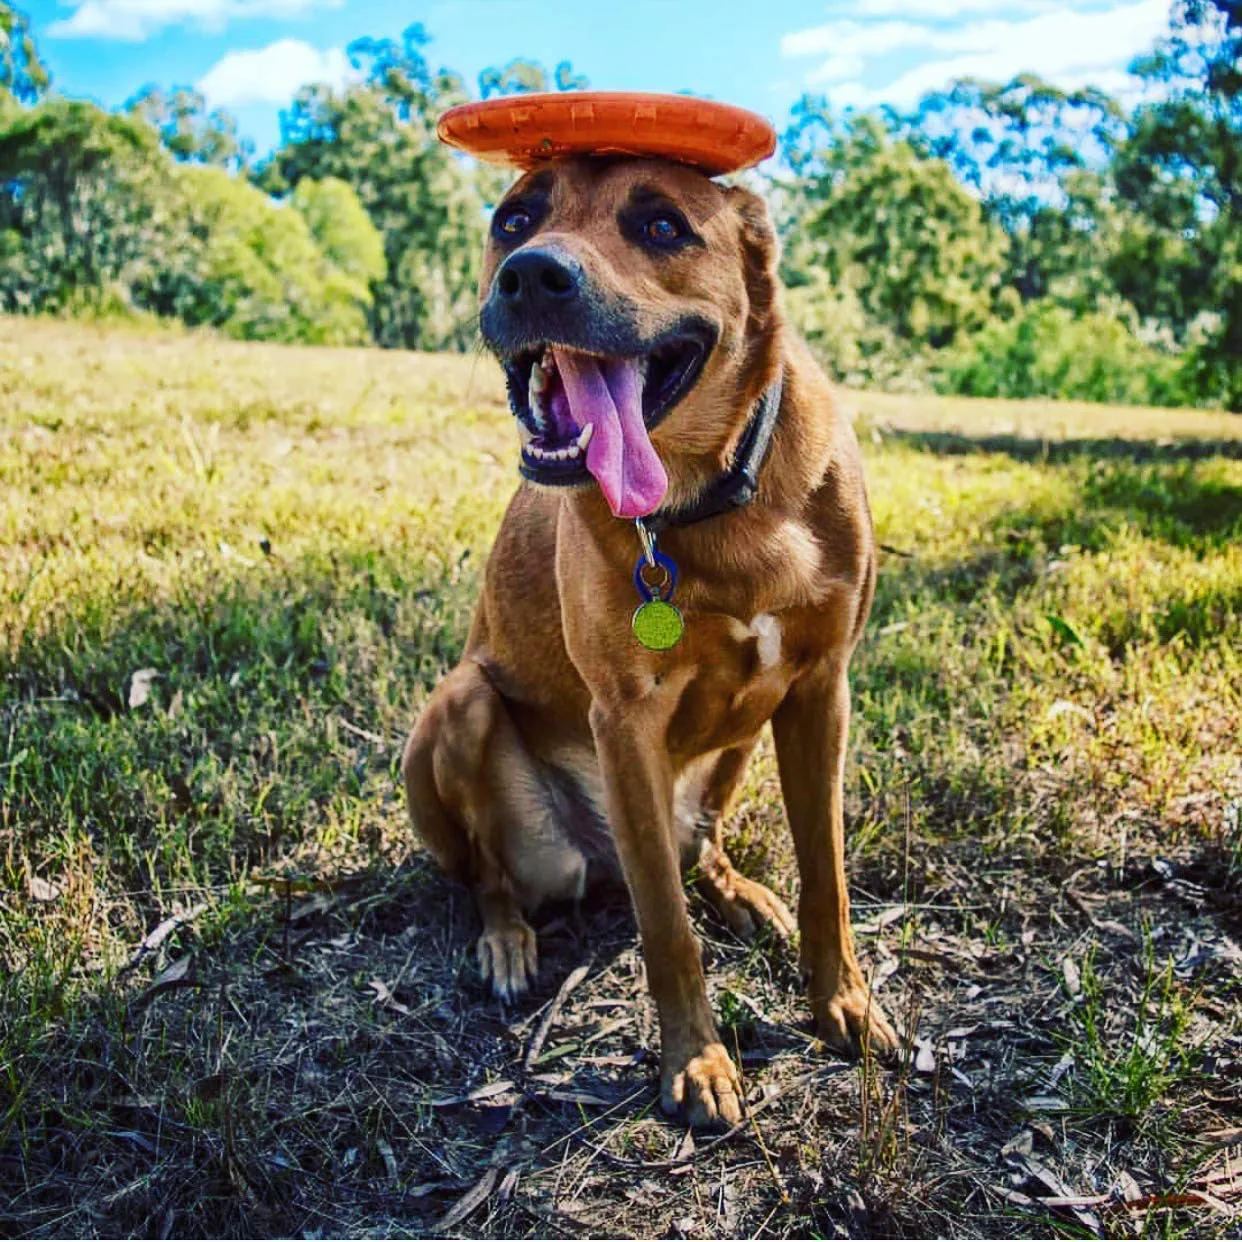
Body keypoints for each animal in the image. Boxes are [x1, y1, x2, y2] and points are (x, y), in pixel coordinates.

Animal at [402, 155, 899, 1127]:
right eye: (514, 219)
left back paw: (740, 892)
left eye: (664, 227)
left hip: (743, 737)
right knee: (493, 874)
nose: (532, 275)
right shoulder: (624, 724)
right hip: (462, 705)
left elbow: (826, 879)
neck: (713, 496)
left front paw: (845, 1005)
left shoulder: (822, 690)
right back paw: (508, 941)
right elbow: (666, 928)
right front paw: (697, 1062)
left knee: (698, 845)